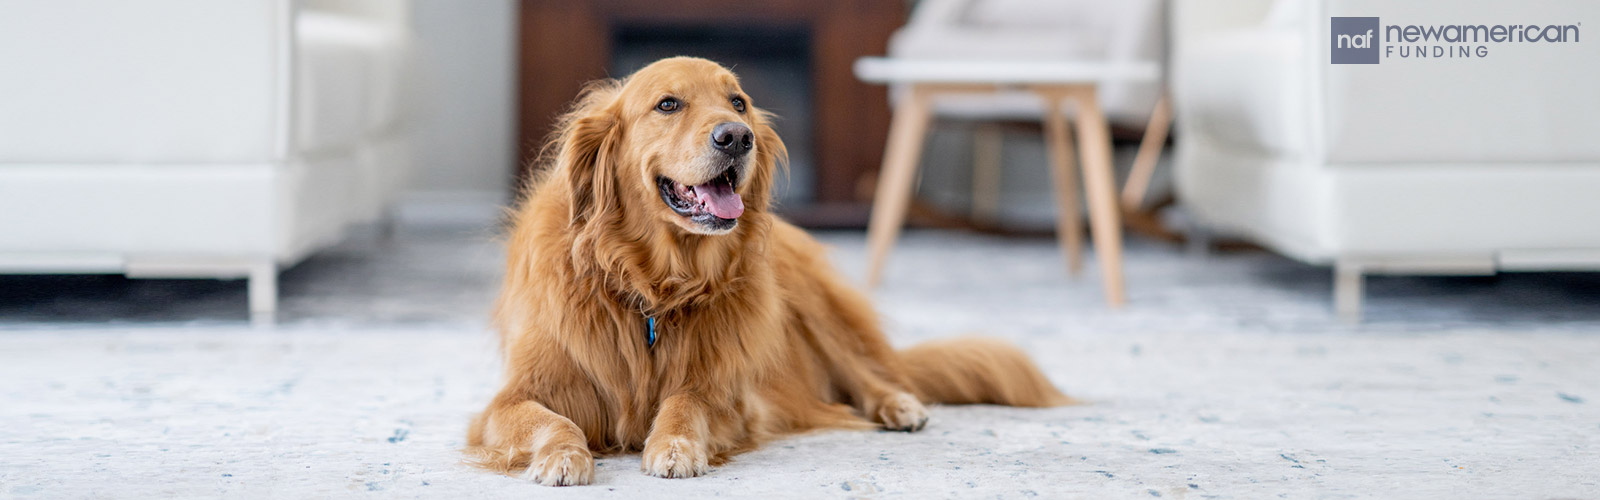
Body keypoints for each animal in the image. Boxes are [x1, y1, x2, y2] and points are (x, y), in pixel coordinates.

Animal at [467, 57, 1068, 483]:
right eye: (668, 104)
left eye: (738, 102)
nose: (736, 135)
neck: (652, 287)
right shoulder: (512, 397)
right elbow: (552, 419)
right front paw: (564, 455)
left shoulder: (727, 393)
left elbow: (684, 403)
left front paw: (674, 445)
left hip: (817, 308)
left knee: (871, 373)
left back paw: (901, 406)